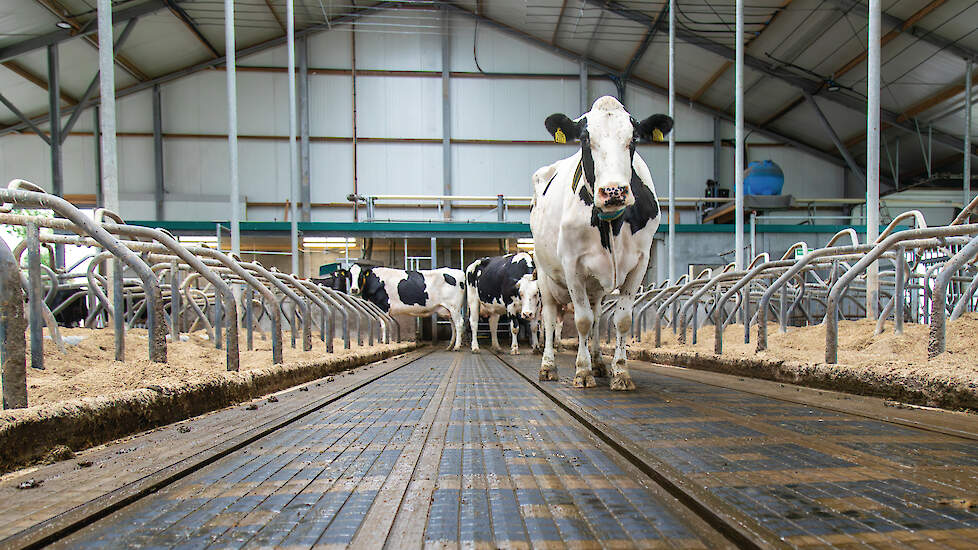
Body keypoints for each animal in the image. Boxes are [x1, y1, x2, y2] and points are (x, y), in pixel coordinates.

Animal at [528, 96, 672, 392]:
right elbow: (581, 321)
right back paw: (549, 366)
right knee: (548, 319)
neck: (610, 224)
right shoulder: (572, 264)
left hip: (594, 287)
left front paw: (620, 371)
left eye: (633, 138)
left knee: (595, 316)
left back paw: (598, 362)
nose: (613, 190)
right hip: (545, 275)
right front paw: (582, 372)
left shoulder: (640, 263)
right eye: (585, 138)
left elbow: (620, 320)